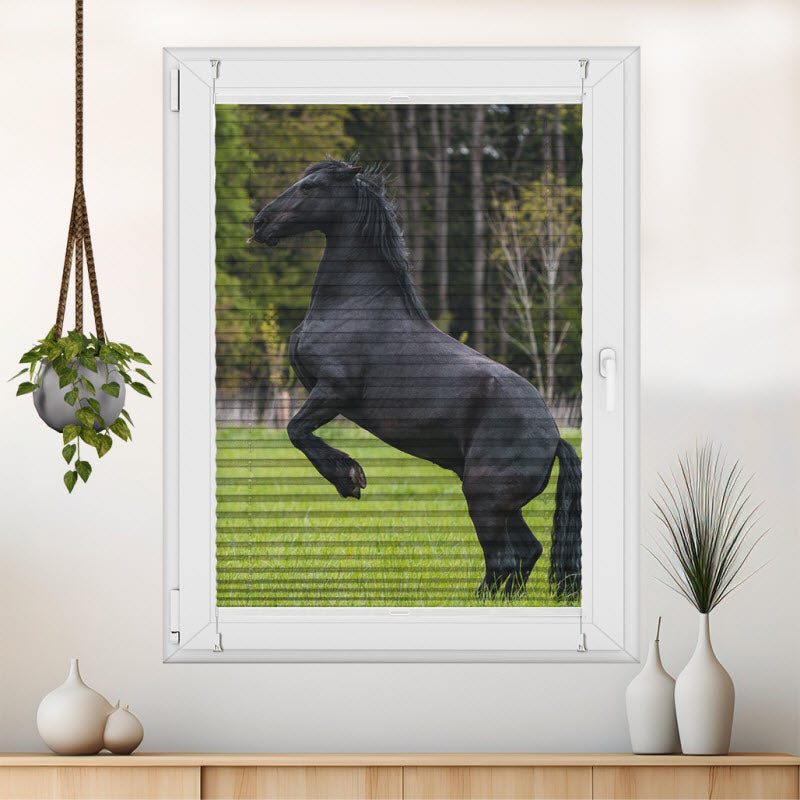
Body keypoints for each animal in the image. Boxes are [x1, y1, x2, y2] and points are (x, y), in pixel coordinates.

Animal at [248, 158, 581, 598]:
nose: (260, 223)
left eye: (310, 186)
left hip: (484, 498)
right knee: (525, 555)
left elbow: (296, 430)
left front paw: (349, 479)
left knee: (505, 560)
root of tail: (555, 437)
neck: (355, 304)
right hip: (502, 504)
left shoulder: (334, 390)